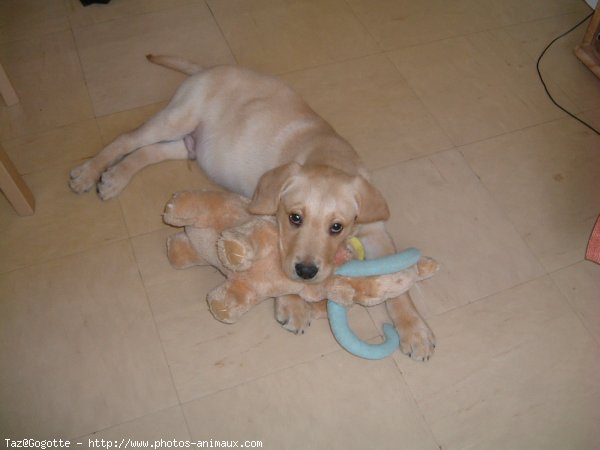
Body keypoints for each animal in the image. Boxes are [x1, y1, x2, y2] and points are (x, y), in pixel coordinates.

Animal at [70, 55, 434, 358]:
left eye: (337, 227)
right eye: (295, 218)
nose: (307, 272)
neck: (327, 157)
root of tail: (208, 68)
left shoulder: (375, 232)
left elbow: (398, 282)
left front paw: (414, 330)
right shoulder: (268, 215)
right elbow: (275, 265)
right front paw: (292, 304)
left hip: (189, 145)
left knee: (149, 152)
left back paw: (114, 175)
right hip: (177, 117)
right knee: (128, 140)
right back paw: (95, 175)